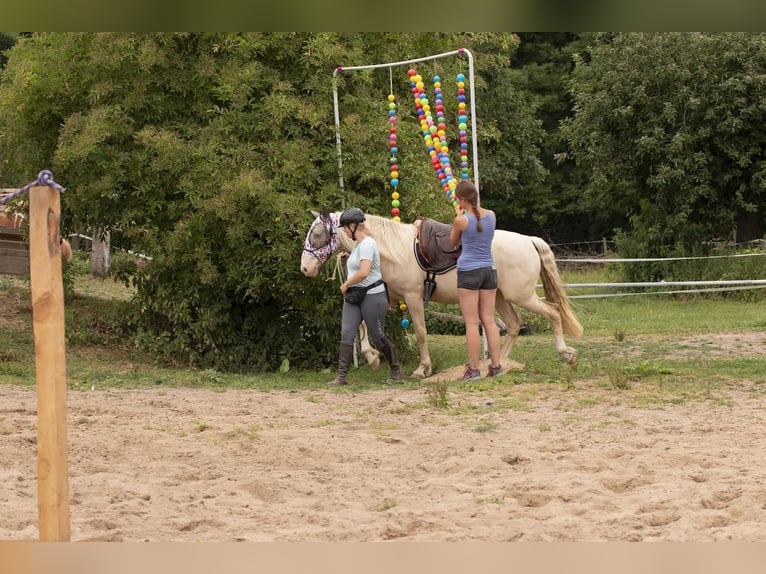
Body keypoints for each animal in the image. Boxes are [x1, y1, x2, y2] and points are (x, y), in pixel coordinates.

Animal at [300, 209, 584, 380]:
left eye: (317, 233)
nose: (305, 268)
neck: (392, 249)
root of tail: (528, 240)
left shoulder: (412, 297)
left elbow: (420, 332)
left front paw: (422, 368)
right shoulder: (388, 295)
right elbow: (361, 325)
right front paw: (371, 357)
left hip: (521, 296)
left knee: (552, 312)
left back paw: (566, 354)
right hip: (500, 297)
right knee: (514, 325)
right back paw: (498, 362)